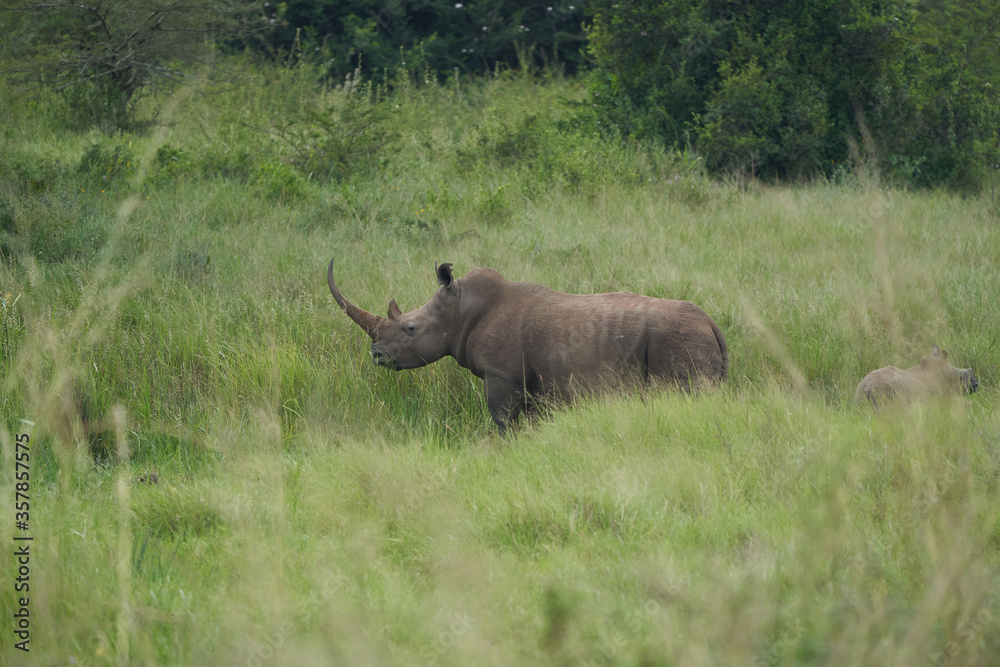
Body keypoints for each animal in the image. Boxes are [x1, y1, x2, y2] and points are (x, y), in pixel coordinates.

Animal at [328, 259, 728, 431]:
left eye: (409, 328)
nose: (376, 355)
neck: (460, 310)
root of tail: (712, 324)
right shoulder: (535, 382)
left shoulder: (501, 374)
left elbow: (502, 419)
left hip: (677, 337)